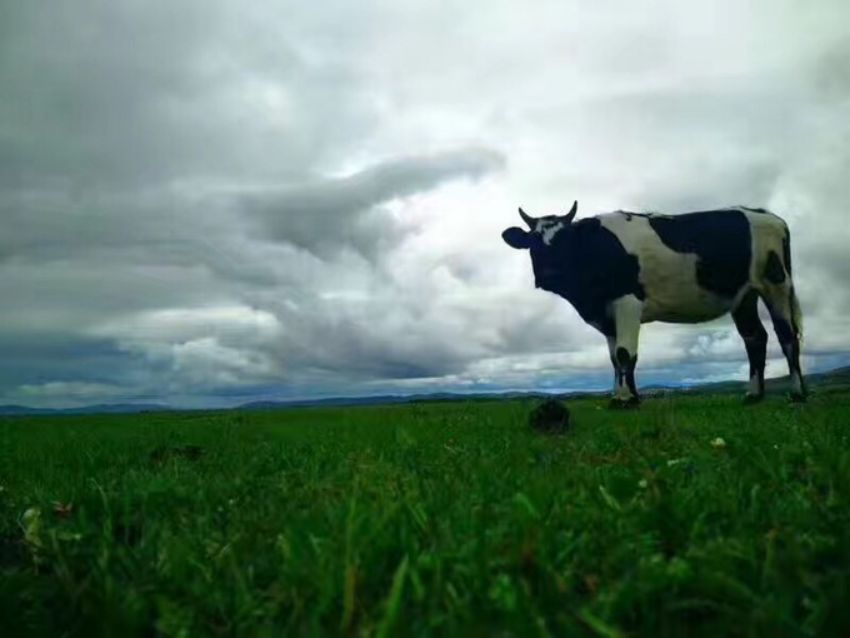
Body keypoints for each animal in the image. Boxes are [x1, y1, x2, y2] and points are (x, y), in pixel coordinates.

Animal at [500, 202, 804, 408]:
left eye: (566, 240)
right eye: (533, 241)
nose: (549, 274)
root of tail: (769, 215)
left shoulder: (627, 302)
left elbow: (625, 353)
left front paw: (625, 399)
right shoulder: (607, 315)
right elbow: (614, 359)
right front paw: (624, 396)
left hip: (776, 284)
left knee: (787, 336)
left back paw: (798, 392)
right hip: (743, 296)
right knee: (755, 338)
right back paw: (754, 394)